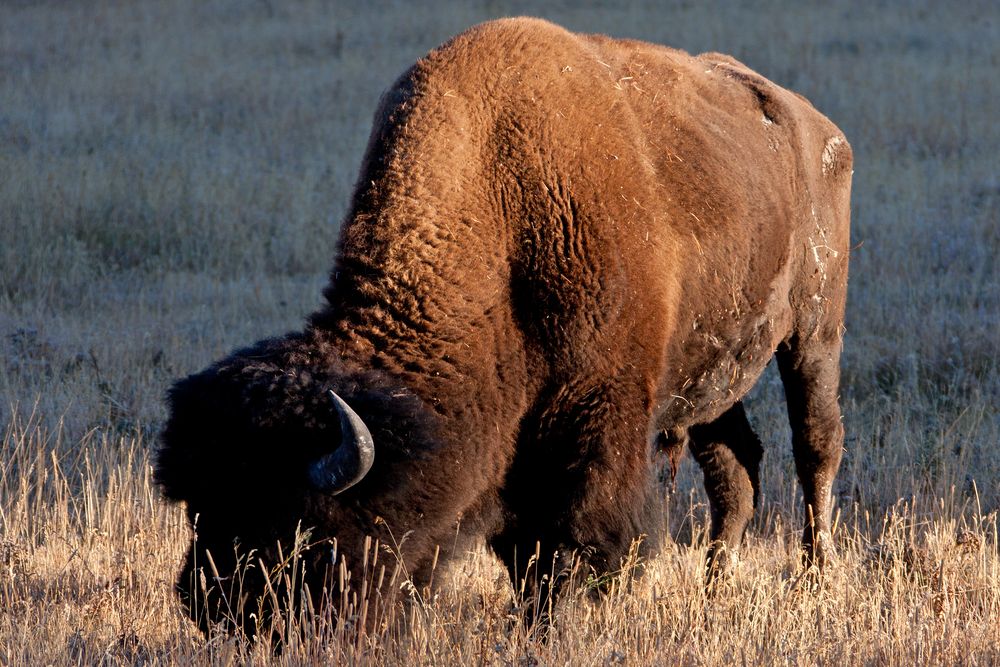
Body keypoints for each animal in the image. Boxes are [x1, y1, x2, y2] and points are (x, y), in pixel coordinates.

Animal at [154, 17, 852, 636]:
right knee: (735, 471)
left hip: (815, 329)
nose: (211, 609)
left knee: (815, 445)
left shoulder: (598, 415)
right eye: (198, 507)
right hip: (714, 375)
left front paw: (557, 624)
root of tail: (818, 126)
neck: (503, 208)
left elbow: (578, 535)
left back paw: (814, 580)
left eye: (299, 529)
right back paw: (715, 589)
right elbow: (526, 546)